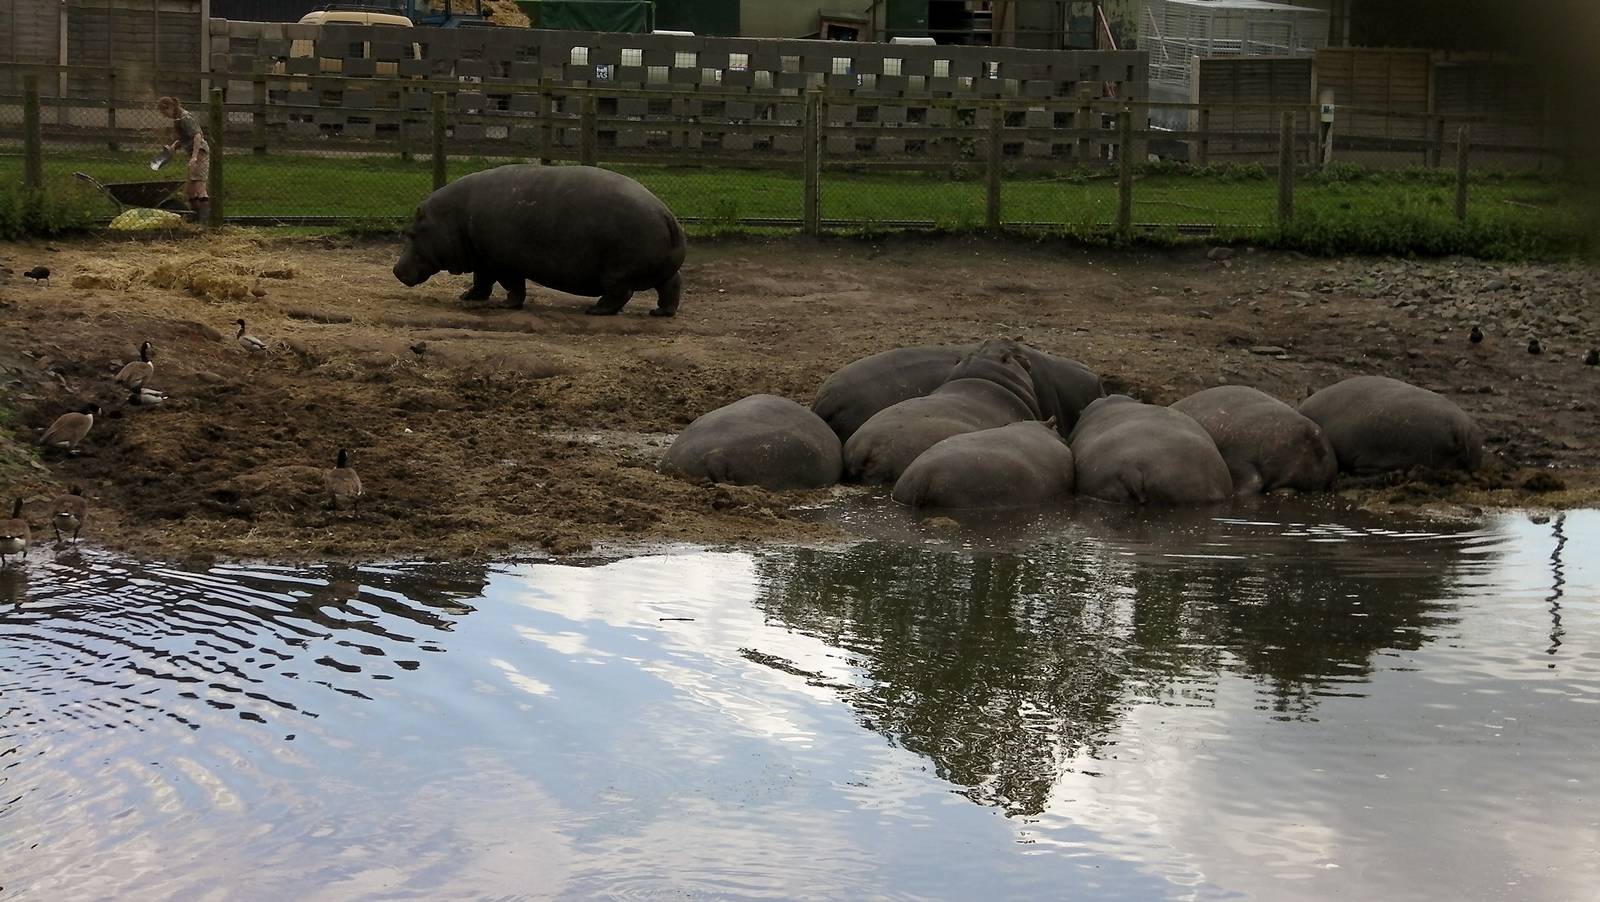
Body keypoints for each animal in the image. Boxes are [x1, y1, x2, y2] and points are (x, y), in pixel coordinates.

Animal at [393, 164, 686, 316]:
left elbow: (511, 286)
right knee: (671, 286)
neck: (452, 217)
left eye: (410, 233)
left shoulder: (501, 263)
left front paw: (506, 305)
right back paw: (660, 313)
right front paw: (467, 297)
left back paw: (595, 310)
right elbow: (481, 282)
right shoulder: (484, 260)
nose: (395, 270)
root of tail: (665, 213)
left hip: (616, 272)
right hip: (662, 271)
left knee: (620, 294)